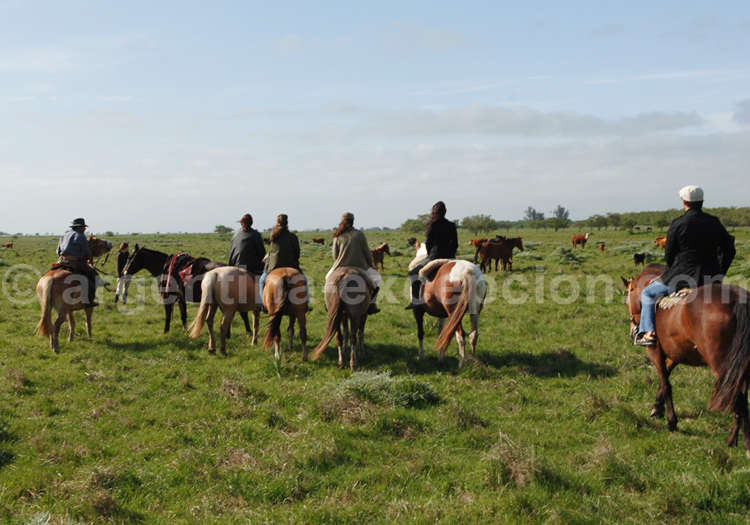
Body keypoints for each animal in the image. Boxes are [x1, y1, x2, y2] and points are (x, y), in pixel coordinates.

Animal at [122, 244, 251, 334]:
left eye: (130, 257)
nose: (124, 271)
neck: (165, 267)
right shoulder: (181, 299)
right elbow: (183, 315)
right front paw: (185, 331)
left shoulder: (168, 297)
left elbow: (168, 314)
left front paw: (166, 331)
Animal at [622, 265, 750, 455]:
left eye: (626, 300)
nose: (633, 331)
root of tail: (738, 299)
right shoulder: (676, 354)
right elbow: (664, 379)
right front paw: (657, 408)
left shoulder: (654, 351)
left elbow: (665, 383)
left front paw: (671, 421)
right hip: (740, 366)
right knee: (739, 397)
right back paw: (732, 439)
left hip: (723, 365)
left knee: (737, 398)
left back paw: (745, 443)